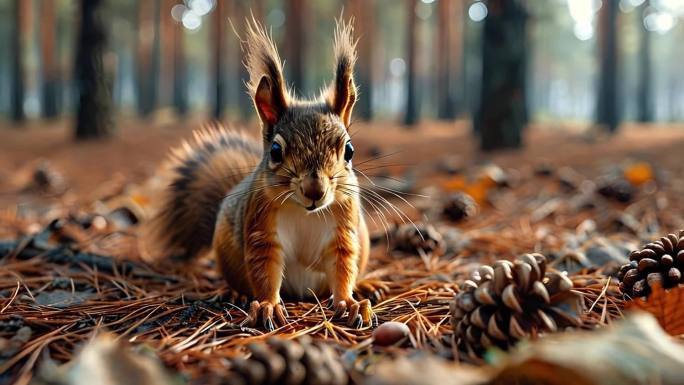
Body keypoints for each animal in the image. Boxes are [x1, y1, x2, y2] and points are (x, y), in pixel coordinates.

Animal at [149, 18, 372, 330]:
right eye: (276, 151)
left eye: (349, 151)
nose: (314, 191)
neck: (304, 212)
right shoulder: (260, 227)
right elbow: (265, 269)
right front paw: (267, 306)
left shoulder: (344, 229)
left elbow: (342, 268)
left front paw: (349, 303)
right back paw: (235, 293)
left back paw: (366, 286)